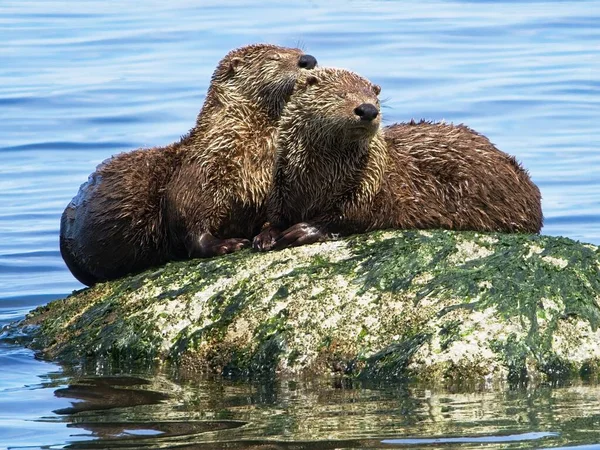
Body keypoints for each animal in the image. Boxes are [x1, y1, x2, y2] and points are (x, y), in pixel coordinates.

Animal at [61, 44, 318, 286]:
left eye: (299, 50)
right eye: (274, 57)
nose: (309, 60)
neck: (246, 158)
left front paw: (269, 235)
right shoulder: (194, 178)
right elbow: (191, 228)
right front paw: (227, 245)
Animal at [253, 67, 544, 251]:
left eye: (375, 99)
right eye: (341, 95)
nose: (368, 109)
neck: (319, 180)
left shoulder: (369, 186)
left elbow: (350, 216)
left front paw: (303, 230)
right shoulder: (280, 182)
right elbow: (274, 215)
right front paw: (265, 235)